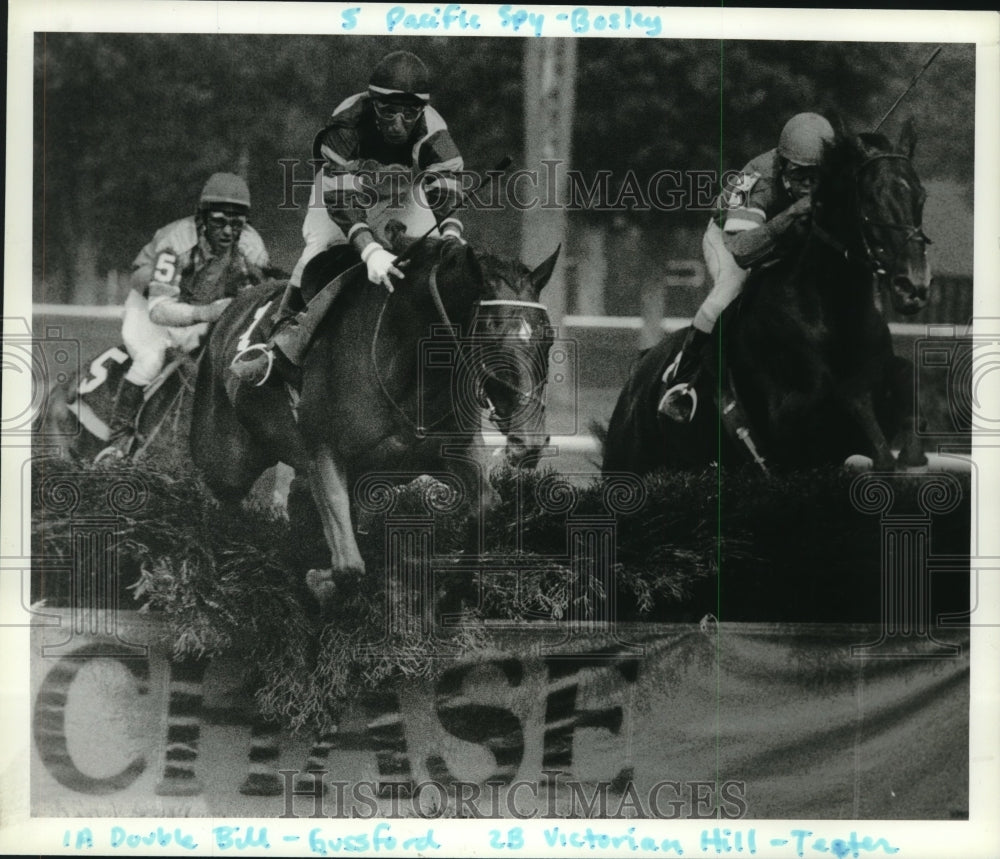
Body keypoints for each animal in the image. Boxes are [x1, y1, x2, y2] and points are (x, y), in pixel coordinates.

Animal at [191, 235, 560, 596]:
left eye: (549, 337)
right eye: (491, 335)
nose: (529, 442)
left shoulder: (452, 451)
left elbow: (486, 506)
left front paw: (451, 582)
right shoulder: (323, 454)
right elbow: (349, 565)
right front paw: (318, 580)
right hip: (226, 462)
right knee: (220, 498)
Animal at [604, 122, 932, 478]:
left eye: (921, 196)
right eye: (870, 199)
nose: (914, 285)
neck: (830, 312)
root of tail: (638, 372)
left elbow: (904, 381)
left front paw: (912, 455)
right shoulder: (790, 415)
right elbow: (846, 397)